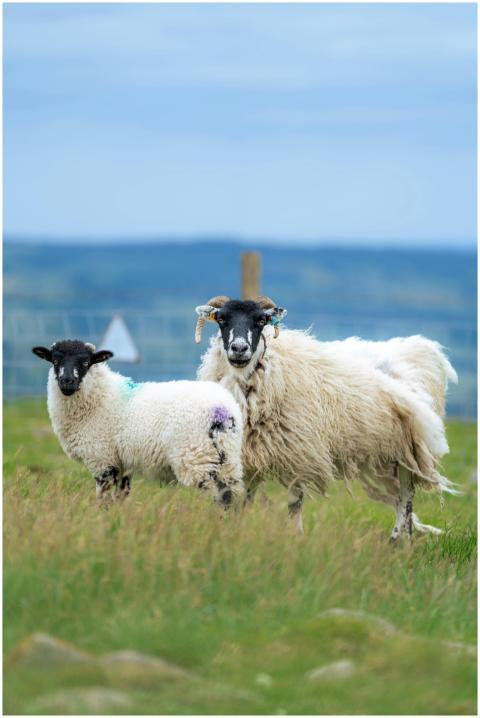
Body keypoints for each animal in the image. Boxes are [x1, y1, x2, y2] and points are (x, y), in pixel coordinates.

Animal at [32, 339, 245, 506]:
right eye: (55, 361)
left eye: (86, 362)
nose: (67, 381)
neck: (99, 398)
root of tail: (223, 411)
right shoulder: (123, 463)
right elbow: (120, 496)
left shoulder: (102, 460)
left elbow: (103, 498)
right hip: (228, 459)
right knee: (231, 496)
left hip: (196, 458)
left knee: (214, 498)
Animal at [194, 296, 458, 538]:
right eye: (221, 319)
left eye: (261, 320)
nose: (239, 349)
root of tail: (419, 349)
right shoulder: (247, 454)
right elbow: (243, 499)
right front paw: (236, 532)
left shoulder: (298, 453)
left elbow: (294, 504)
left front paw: (296, 538)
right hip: (391, 451)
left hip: (412, 444)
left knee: (406, 495)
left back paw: (398, 540)